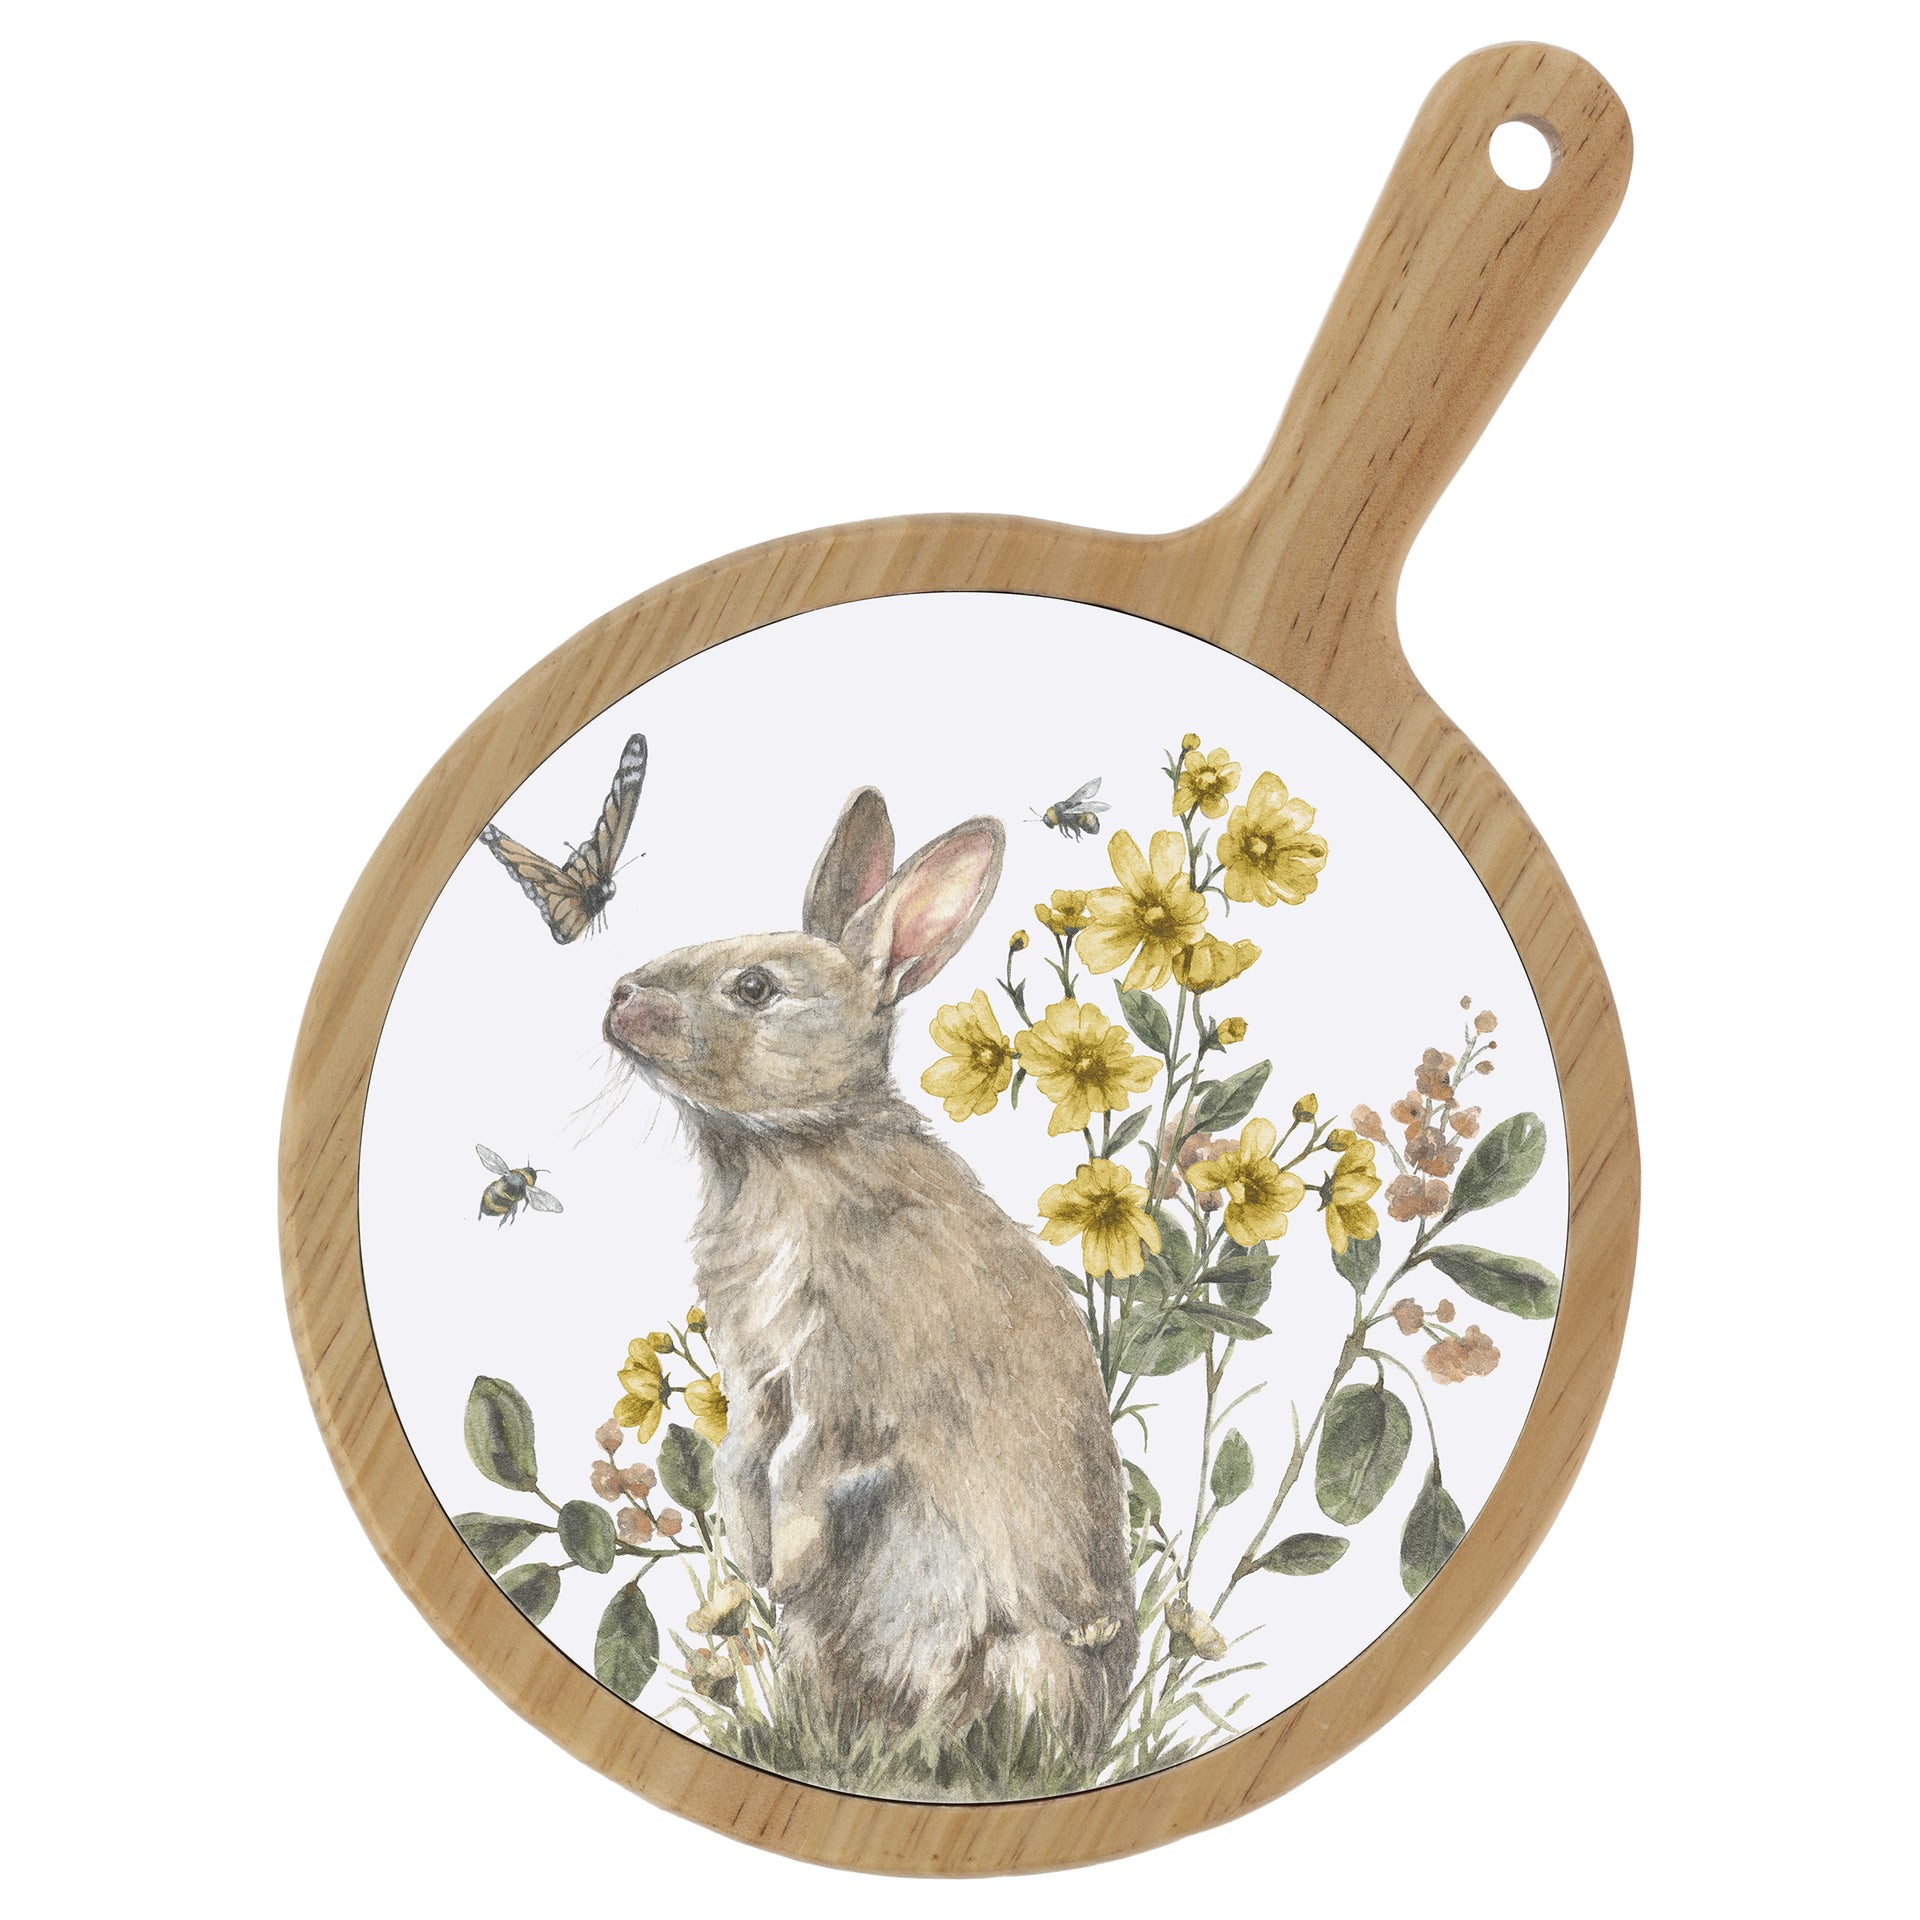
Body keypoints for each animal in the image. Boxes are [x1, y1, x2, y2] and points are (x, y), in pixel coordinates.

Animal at [603, 787, 1138, 1755]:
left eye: (755, 988)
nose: (618, 995)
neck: (788, 1149)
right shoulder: (759, 1374)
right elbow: (741, 1456)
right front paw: (754, 1559)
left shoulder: (848, 1382)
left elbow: (805, 1467)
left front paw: (782, 1565)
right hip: (825, 1649)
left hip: (1023, 1660)